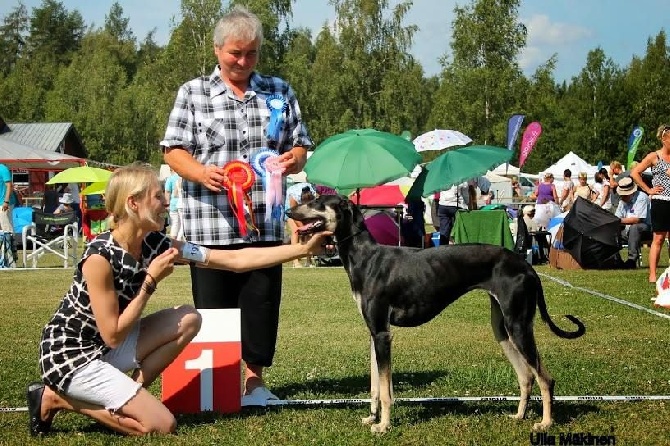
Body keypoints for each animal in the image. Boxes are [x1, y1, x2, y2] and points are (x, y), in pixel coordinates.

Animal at [290, 194, 588, 432]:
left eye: (318, 202)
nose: (290, 213)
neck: (366, 257)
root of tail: (527, 266)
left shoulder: (383, 334)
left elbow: (385, 389)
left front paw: (384, 425)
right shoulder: (374, 333)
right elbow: (376, 384)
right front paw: (372, 418)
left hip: (519, 325)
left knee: (545, 378)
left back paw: (545, 422)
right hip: (502, 328)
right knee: (526, 376)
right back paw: (519, 416)